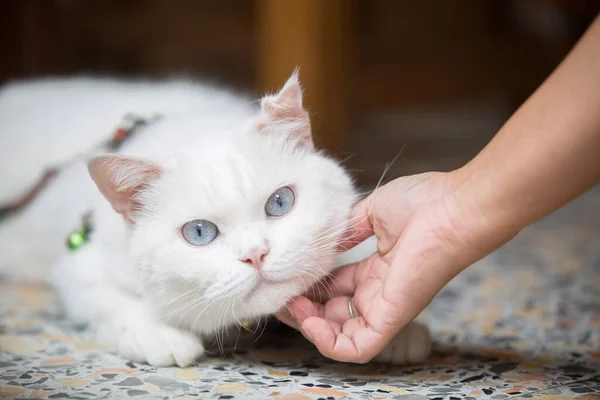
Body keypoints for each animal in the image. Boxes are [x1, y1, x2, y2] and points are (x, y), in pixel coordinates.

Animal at [0, 72, 432, 366]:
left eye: (279, 203)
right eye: (199, 232)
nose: (256, 254)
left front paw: (398, 329)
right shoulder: (80, 263)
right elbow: (113, 303)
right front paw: (159, 335)